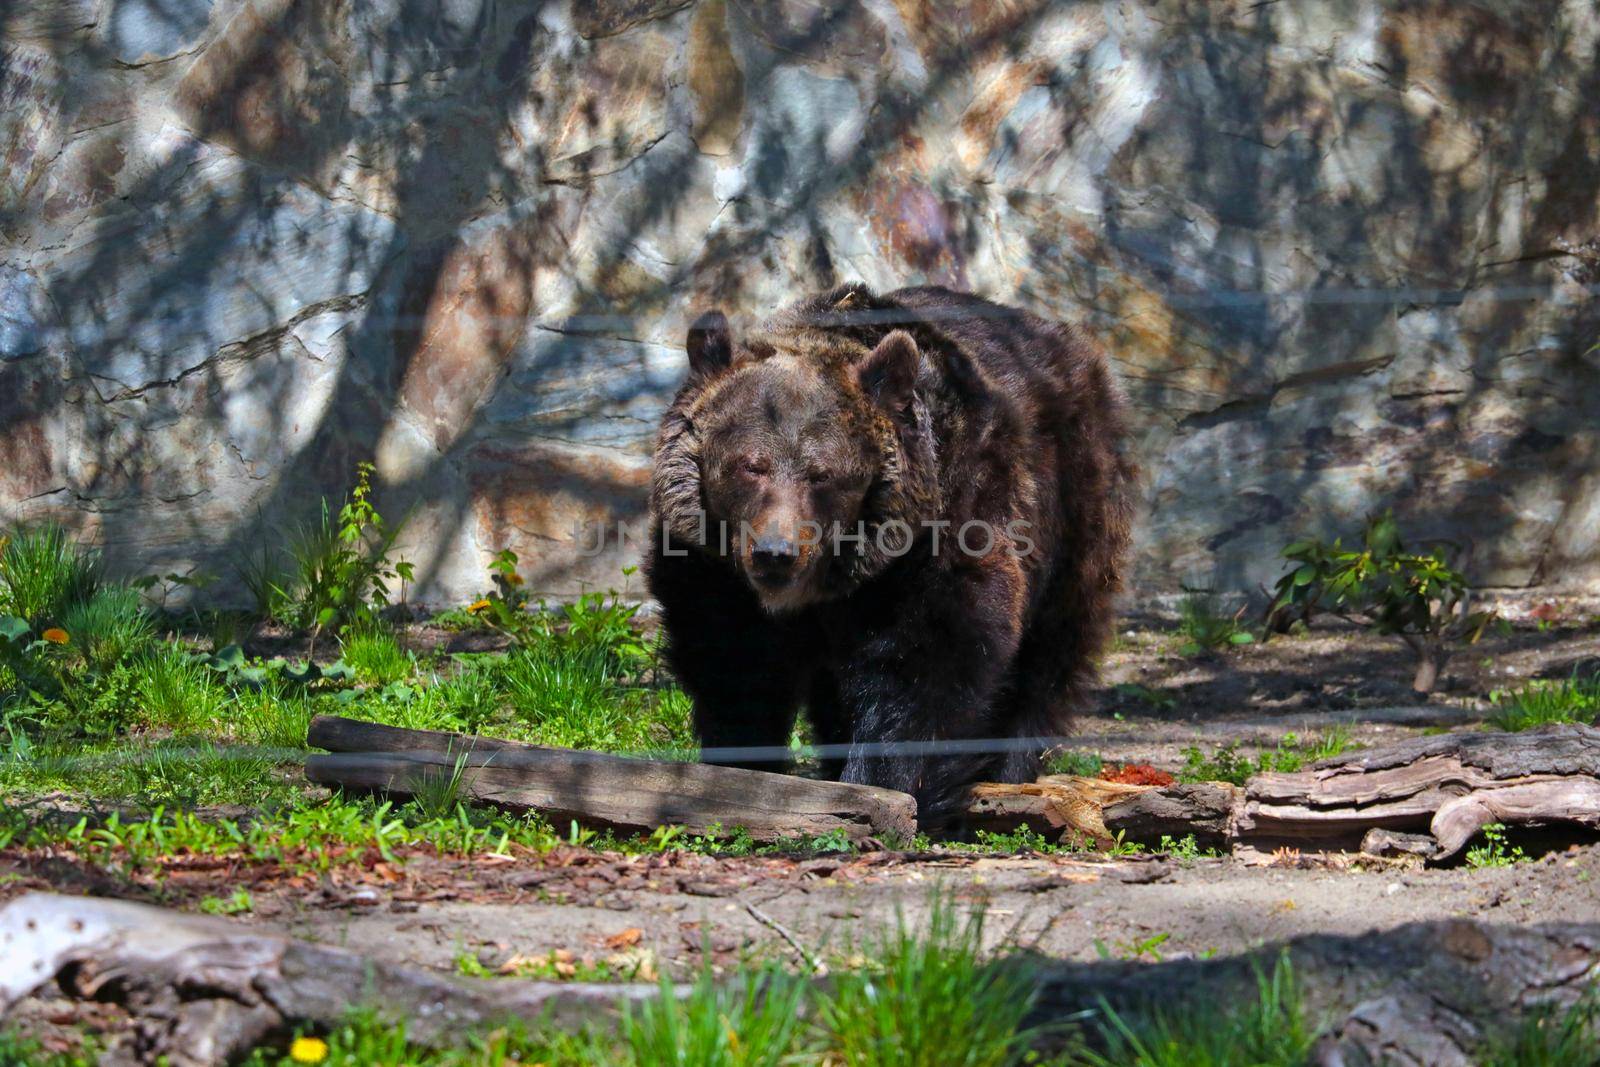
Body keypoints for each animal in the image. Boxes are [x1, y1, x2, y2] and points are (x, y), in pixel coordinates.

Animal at [643, 283, 1132, 825]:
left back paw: (1010, 766)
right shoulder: (715, 571)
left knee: (1051, 647)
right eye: (751, 466)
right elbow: (733, 659)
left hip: (1072, 500)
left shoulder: (936, 536)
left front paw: (881, 785)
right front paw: (743, 765)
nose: (776, 553)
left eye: (823, 474)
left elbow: (925, 660)